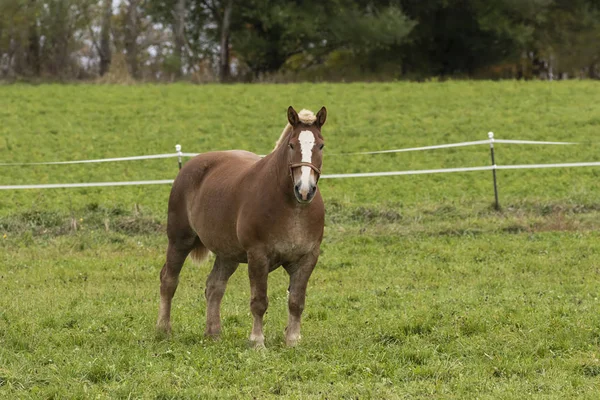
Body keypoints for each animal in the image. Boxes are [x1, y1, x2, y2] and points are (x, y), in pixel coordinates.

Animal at [157, 106, 326, 346]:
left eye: (321, 145)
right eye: (292, 145)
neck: (293, 208)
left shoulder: (307, 259)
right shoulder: (258, 256)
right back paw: (163, 329)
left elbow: (296, 302)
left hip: (227, 254)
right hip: (180, 241)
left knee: (214, 287)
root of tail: (189, 166)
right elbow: (259, 302)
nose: (305, 189)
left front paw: (292, 341)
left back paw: (213, 333)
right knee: (168, 281)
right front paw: (257, 342)